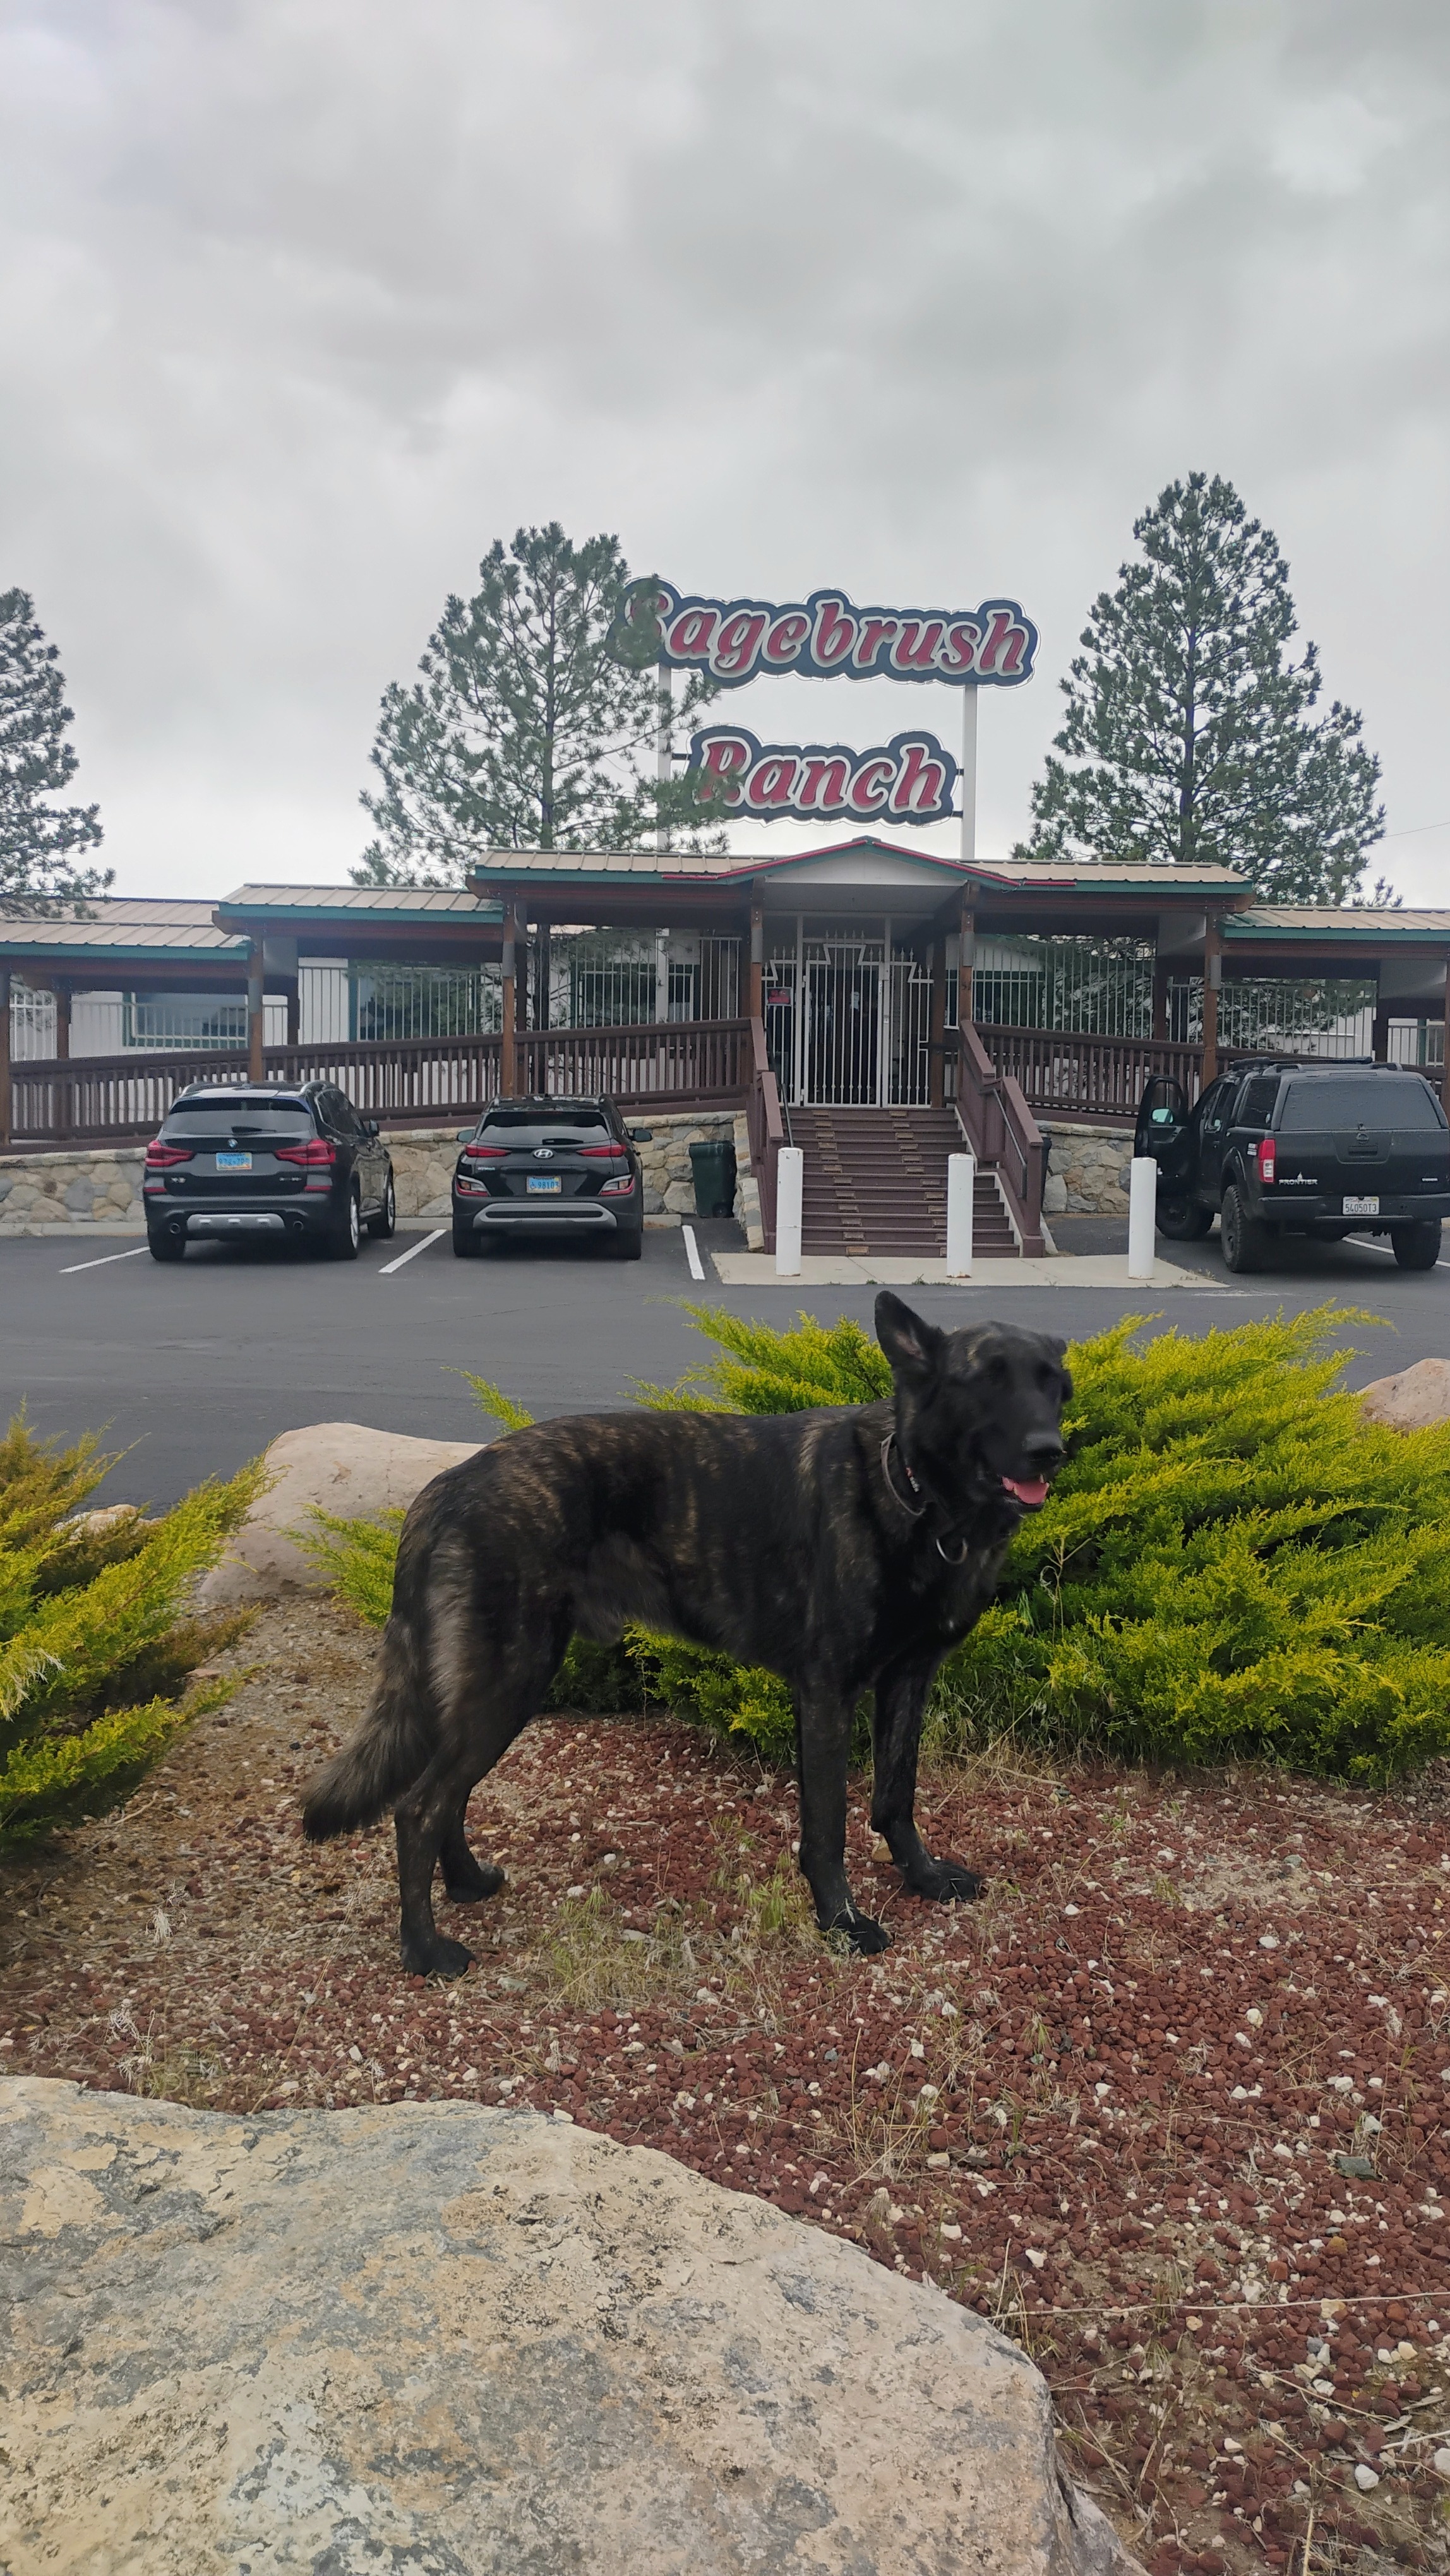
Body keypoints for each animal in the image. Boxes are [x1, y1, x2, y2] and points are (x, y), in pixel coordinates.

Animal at [303, 1295, 1070, 1976]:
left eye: (1051, 1385)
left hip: (500, 1689)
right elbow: (827, 1826)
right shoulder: (827, 1695)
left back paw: (465, 1883)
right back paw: (424, 1950)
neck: (915, 1495)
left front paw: (923, 1878)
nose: (1051, 1452)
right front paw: (841, 1922)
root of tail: (446, 1484)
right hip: (508, 1681)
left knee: (448, 1796)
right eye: (985, 1379)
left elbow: (895, 1799)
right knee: (420, 1806)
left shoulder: (908, 1681)